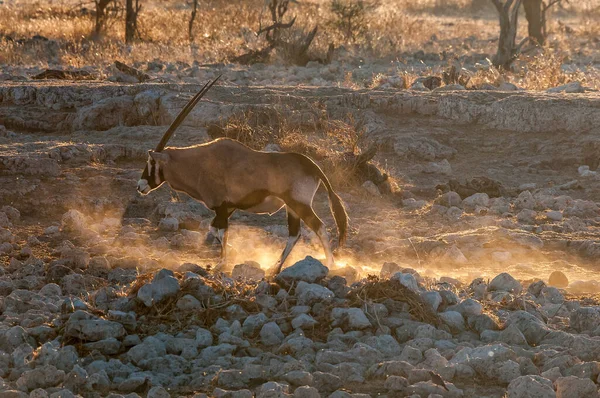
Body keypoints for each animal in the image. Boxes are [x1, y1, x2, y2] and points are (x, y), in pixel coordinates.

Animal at [135, 76, 346, 274]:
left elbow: (220, 231)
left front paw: (222, 263)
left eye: (151, 162)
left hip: (299, 203)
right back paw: (275, 267)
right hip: (291, 207)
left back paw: (329, 264)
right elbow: (216, 230)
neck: (199, 163)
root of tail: (313, 166)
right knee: (294, 234)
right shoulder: (228, 207)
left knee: (319, 227)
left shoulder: (221, 206)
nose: (140, 186)